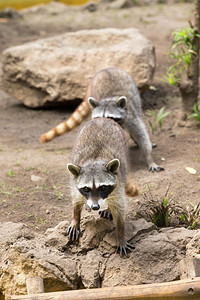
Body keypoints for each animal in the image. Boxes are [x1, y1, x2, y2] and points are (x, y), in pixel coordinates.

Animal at [66, 118, 138, 258]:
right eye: (86, 189)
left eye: (103, 187)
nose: (95, 207)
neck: (95, 160)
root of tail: (102, 118)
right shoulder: (74, 182)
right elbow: (76, 200)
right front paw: (75, 218)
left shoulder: (118, 184)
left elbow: (119, 208)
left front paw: (121, 234)